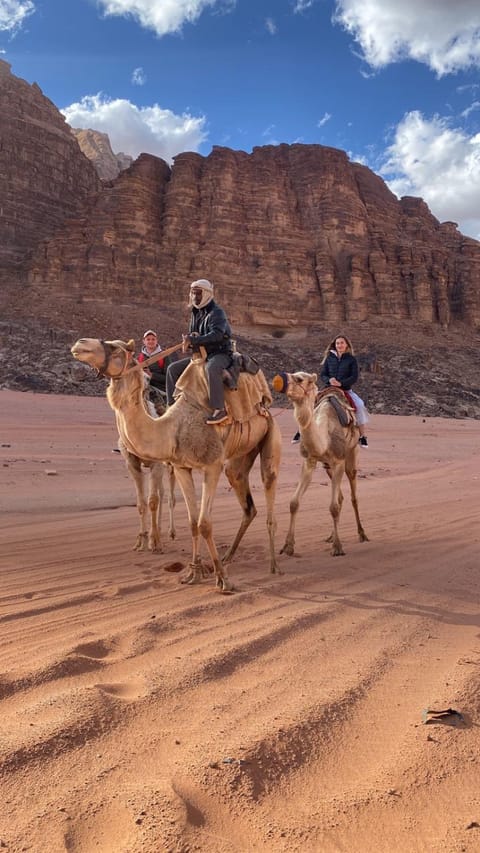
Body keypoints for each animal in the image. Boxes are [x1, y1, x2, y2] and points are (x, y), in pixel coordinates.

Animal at [71, 336, 282, 588]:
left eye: (113, 347)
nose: (79, 344)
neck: (172, 428)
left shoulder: (212, 465)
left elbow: (204, 523)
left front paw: (222, 580)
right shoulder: (181, 467)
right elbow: (192, 522)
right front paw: (194, 572)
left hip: (269, 435)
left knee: (269, 486)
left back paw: (274, 564)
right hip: (239, 457)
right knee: (246, 501)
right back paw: (228, 556)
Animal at [272, 370, 370, 556]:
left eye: (299, 379)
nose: (278, 380)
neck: (324, 435)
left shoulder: (338, 461)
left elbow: (333, 507)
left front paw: (338, 548)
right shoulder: (309, 461)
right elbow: (294, 502)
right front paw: (288, 546)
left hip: (351, 455)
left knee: (353, 495)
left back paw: (362, 534)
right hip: (328, 467)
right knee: (340, 497)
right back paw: (331, 536)